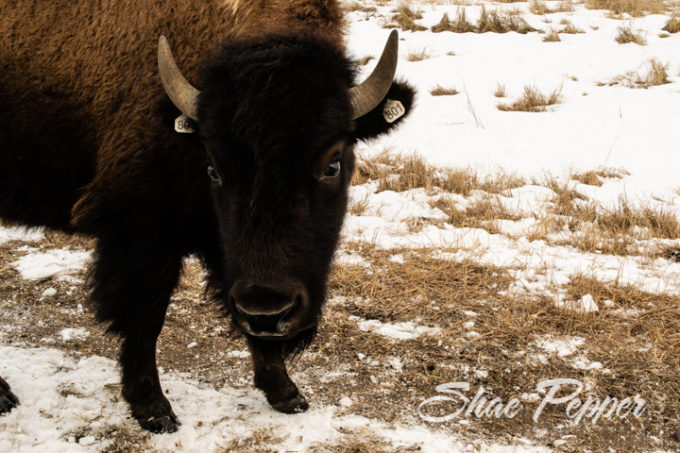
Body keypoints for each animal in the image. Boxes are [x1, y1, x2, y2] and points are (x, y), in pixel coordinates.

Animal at [0, 0, 414, 430]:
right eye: (214, 168)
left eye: (332, 164)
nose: (270, 311)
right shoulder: (142, 233)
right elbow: (145, 319)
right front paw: (155, 411)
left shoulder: (225, 249)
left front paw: (287, 394)